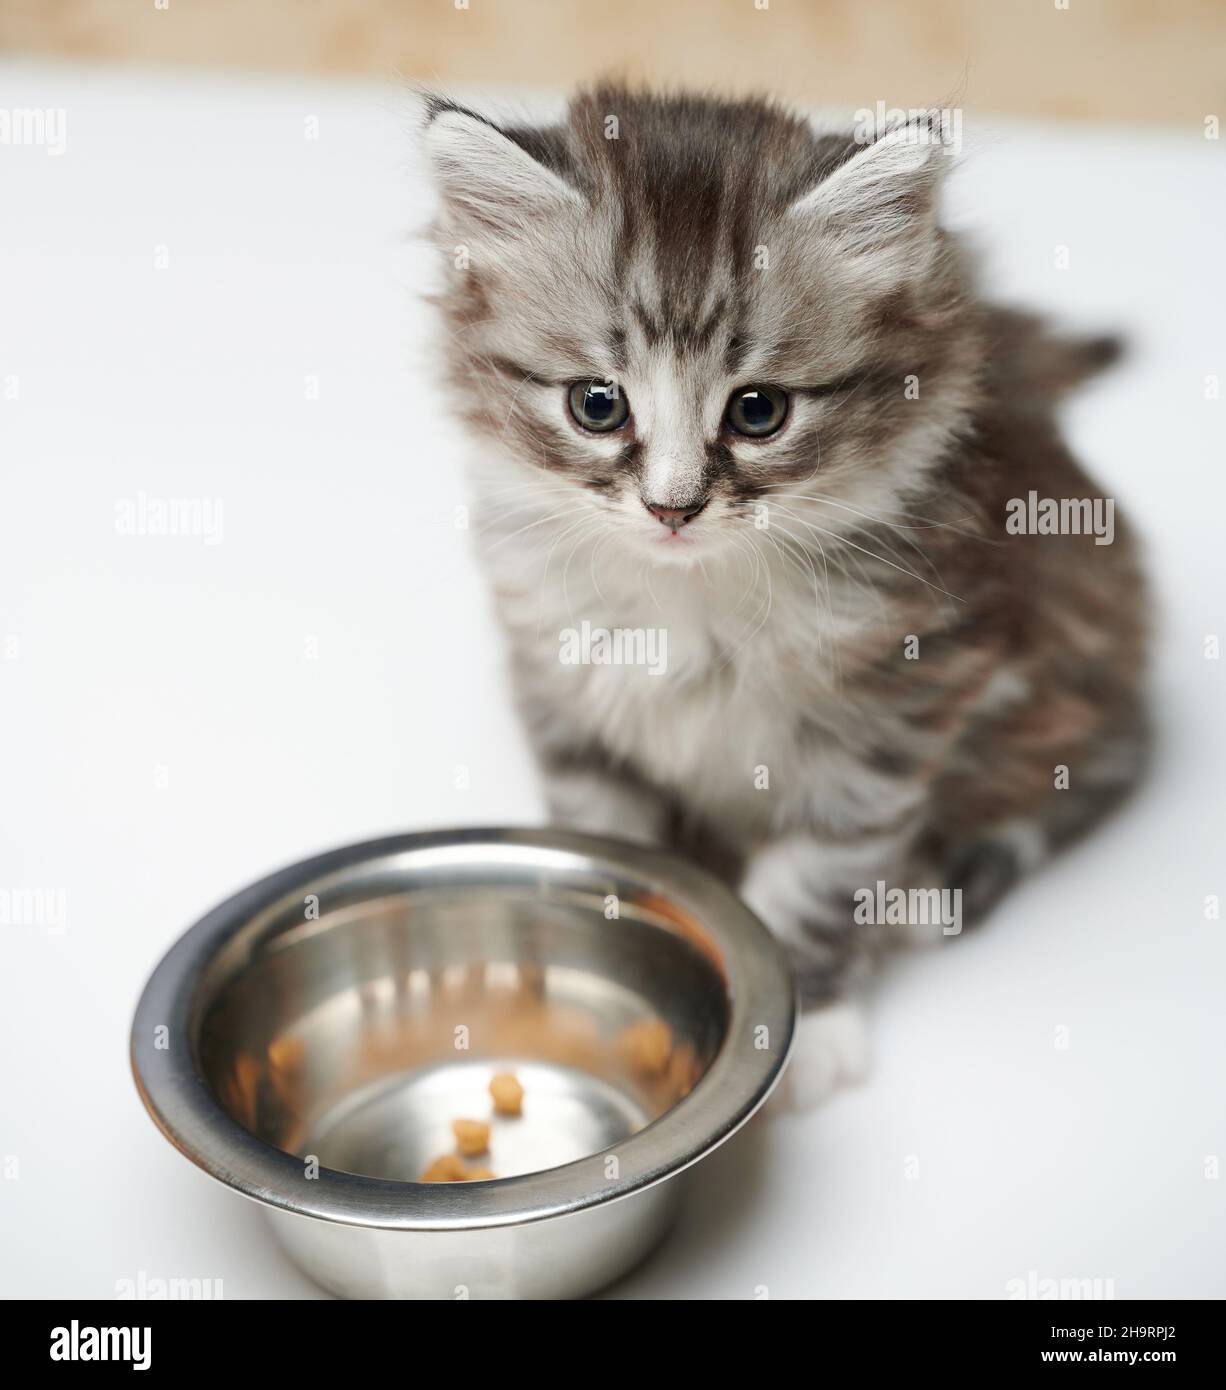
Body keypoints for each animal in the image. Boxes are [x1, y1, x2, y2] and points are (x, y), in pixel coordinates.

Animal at [422, 86, 1145, 1106]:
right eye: (597, 404)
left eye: (758, 411)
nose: (672, 507)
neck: (690, 596)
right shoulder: (563, 683)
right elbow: (609, 834)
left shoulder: (895, 705)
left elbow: (818, 878)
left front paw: (806, 1028)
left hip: (1082, 662)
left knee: (1105, 767)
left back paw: (933, 885)